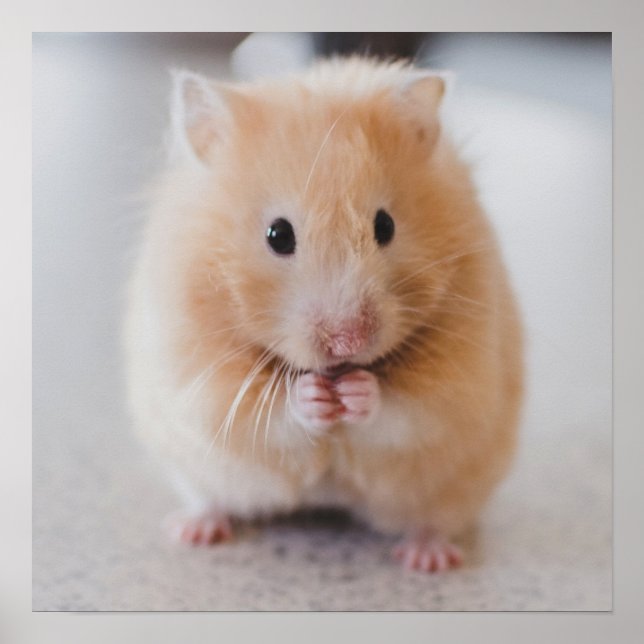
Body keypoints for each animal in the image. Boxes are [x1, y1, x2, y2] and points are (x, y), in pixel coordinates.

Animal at [125, 57, 523, 573]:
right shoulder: (200, 379)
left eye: (385, 226)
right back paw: (193, 531)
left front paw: (356, 392)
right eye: (278, 235)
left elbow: (407, 410)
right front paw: (314, 396)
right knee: (210, 498)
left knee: (433, 519)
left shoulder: (460, 381)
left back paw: (428, 559)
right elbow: (267, 413)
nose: (348, 342)